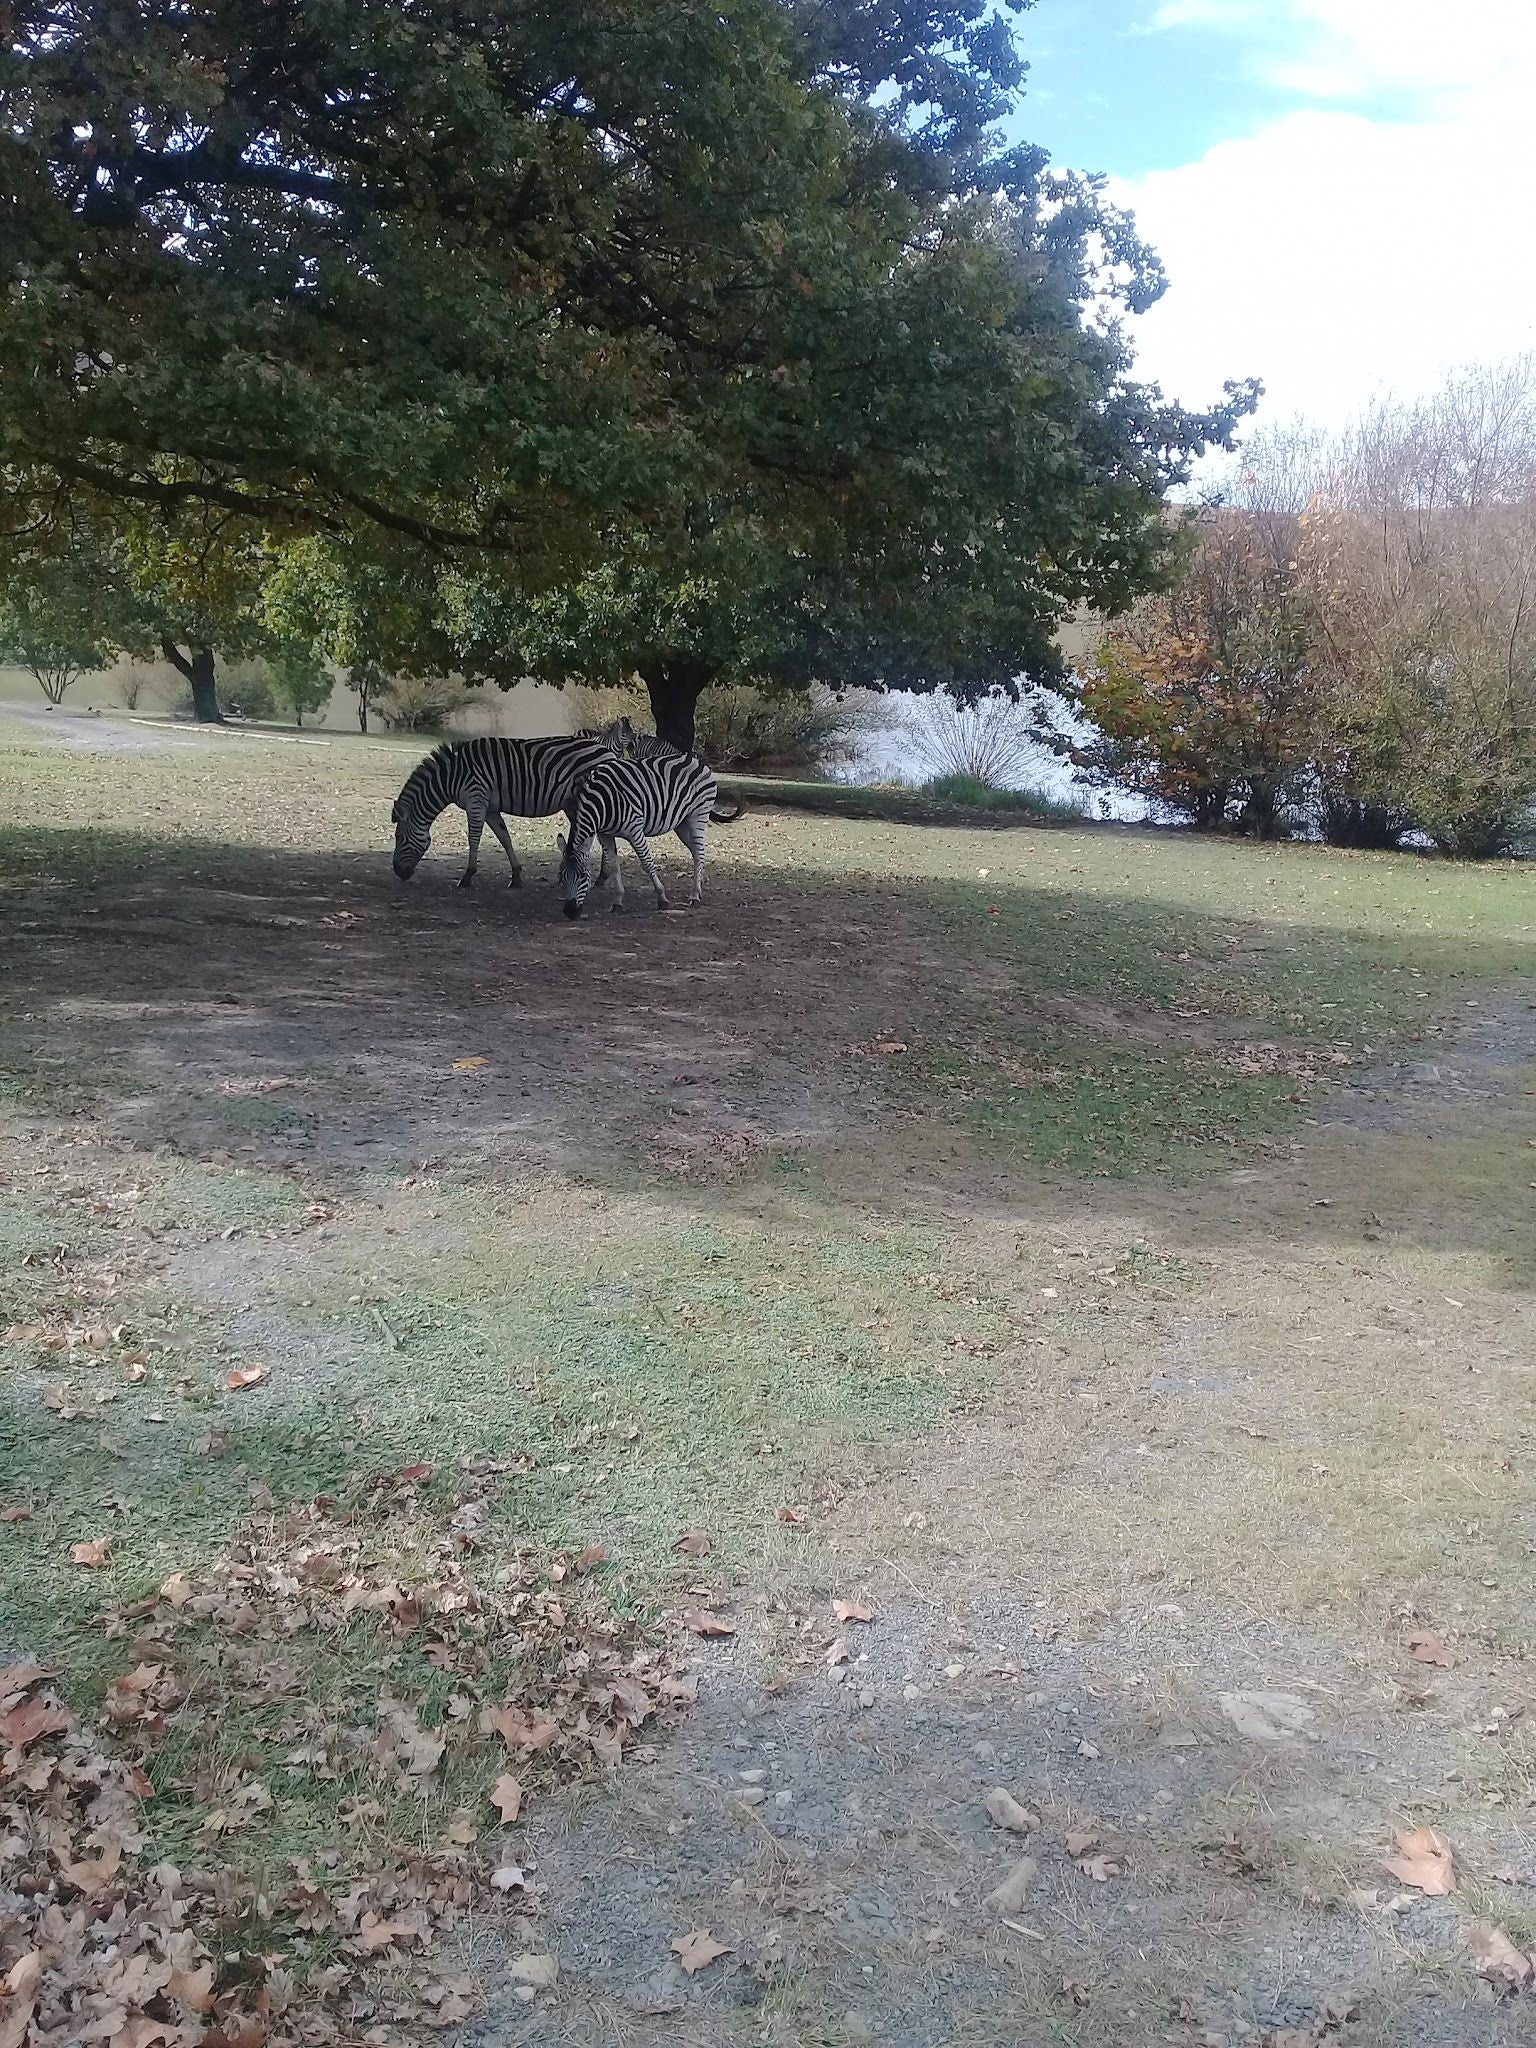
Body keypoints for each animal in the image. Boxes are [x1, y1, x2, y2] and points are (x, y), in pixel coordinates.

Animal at [387, 741, 622, 892]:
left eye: (399, 837)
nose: (397, 872)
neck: (450, 777)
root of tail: (608, 751)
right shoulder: (490, 808)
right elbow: (505, 838)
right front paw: (516, 876)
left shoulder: (476, 800)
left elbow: (474, 839)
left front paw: (467, 876)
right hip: (576, 804)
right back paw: (600, 876)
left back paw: (602, 877)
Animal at [561, 749, 745, 917]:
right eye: (561, 877)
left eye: (583, 877)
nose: (570, 912)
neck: (600, 802)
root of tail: (697, 761)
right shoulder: (604, 834)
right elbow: (613, 865)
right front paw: (618, 901)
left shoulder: (635, 830)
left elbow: (647, 863)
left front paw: (662, 898)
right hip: (681, 823)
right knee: (695, 853)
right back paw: (697, 890)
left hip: (698, 815)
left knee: (699, 853)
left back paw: (694, 896)